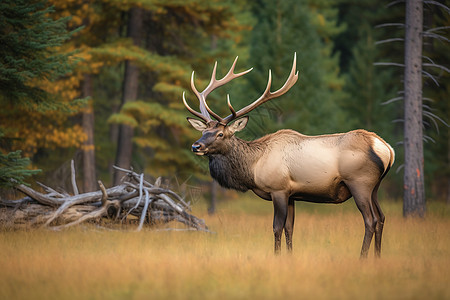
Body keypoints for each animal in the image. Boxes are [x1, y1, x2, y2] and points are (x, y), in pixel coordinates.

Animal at [183, 53, 394, 255]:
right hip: (375, 186)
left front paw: (277, 256)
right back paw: (377, 256)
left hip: (359, 182)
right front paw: (289, 256)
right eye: (203, 131)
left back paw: (363, 257)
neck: (253, 168)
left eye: (220, 134)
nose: (196, 146)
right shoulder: (292, 194)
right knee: (382, 217)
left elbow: (277, 228)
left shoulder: (278, 189)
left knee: (370, 220)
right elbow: (290, 229)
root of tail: (386, 148)